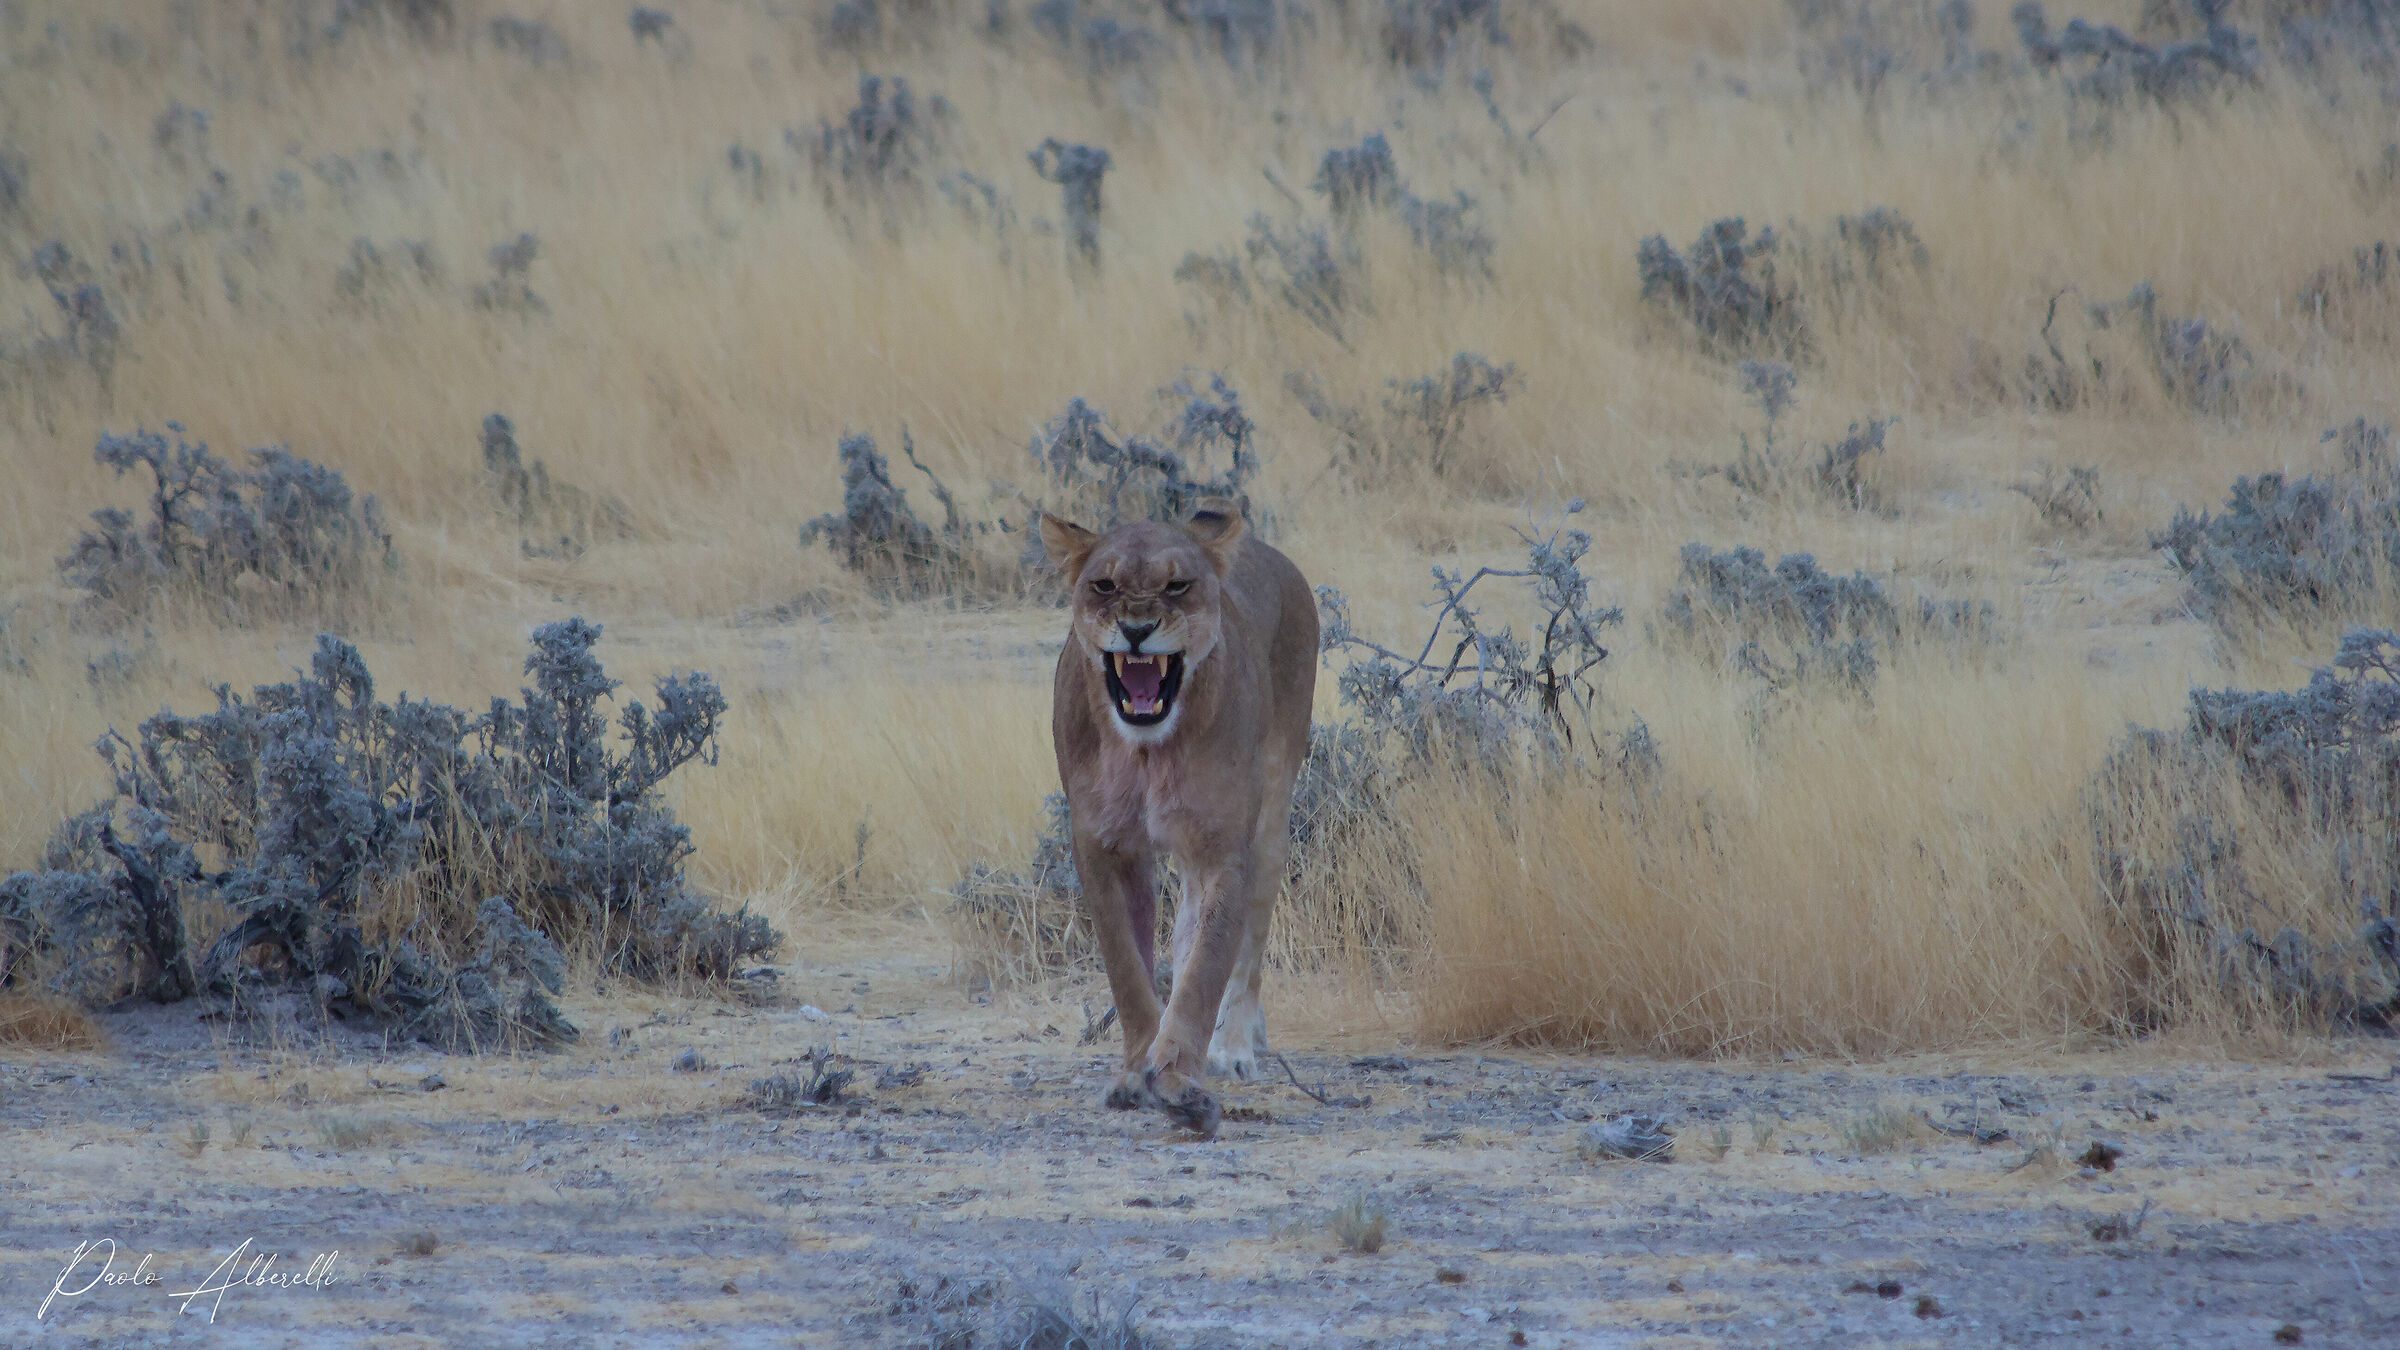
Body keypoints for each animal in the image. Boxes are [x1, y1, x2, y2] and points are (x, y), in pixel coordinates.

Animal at [1038, 499, 1317, 1139]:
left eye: (1176, 586)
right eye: (1105, 584)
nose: (1138, 630)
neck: (1147, 752)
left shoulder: (1223, 849)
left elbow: (1205, 973)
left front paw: (1181, 1083)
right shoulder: (1104, 848)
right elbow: (1130, 973)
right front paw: (1136, 1072)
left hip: (1271, 818)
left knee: (1247, 952)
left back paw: (1234, 1045)